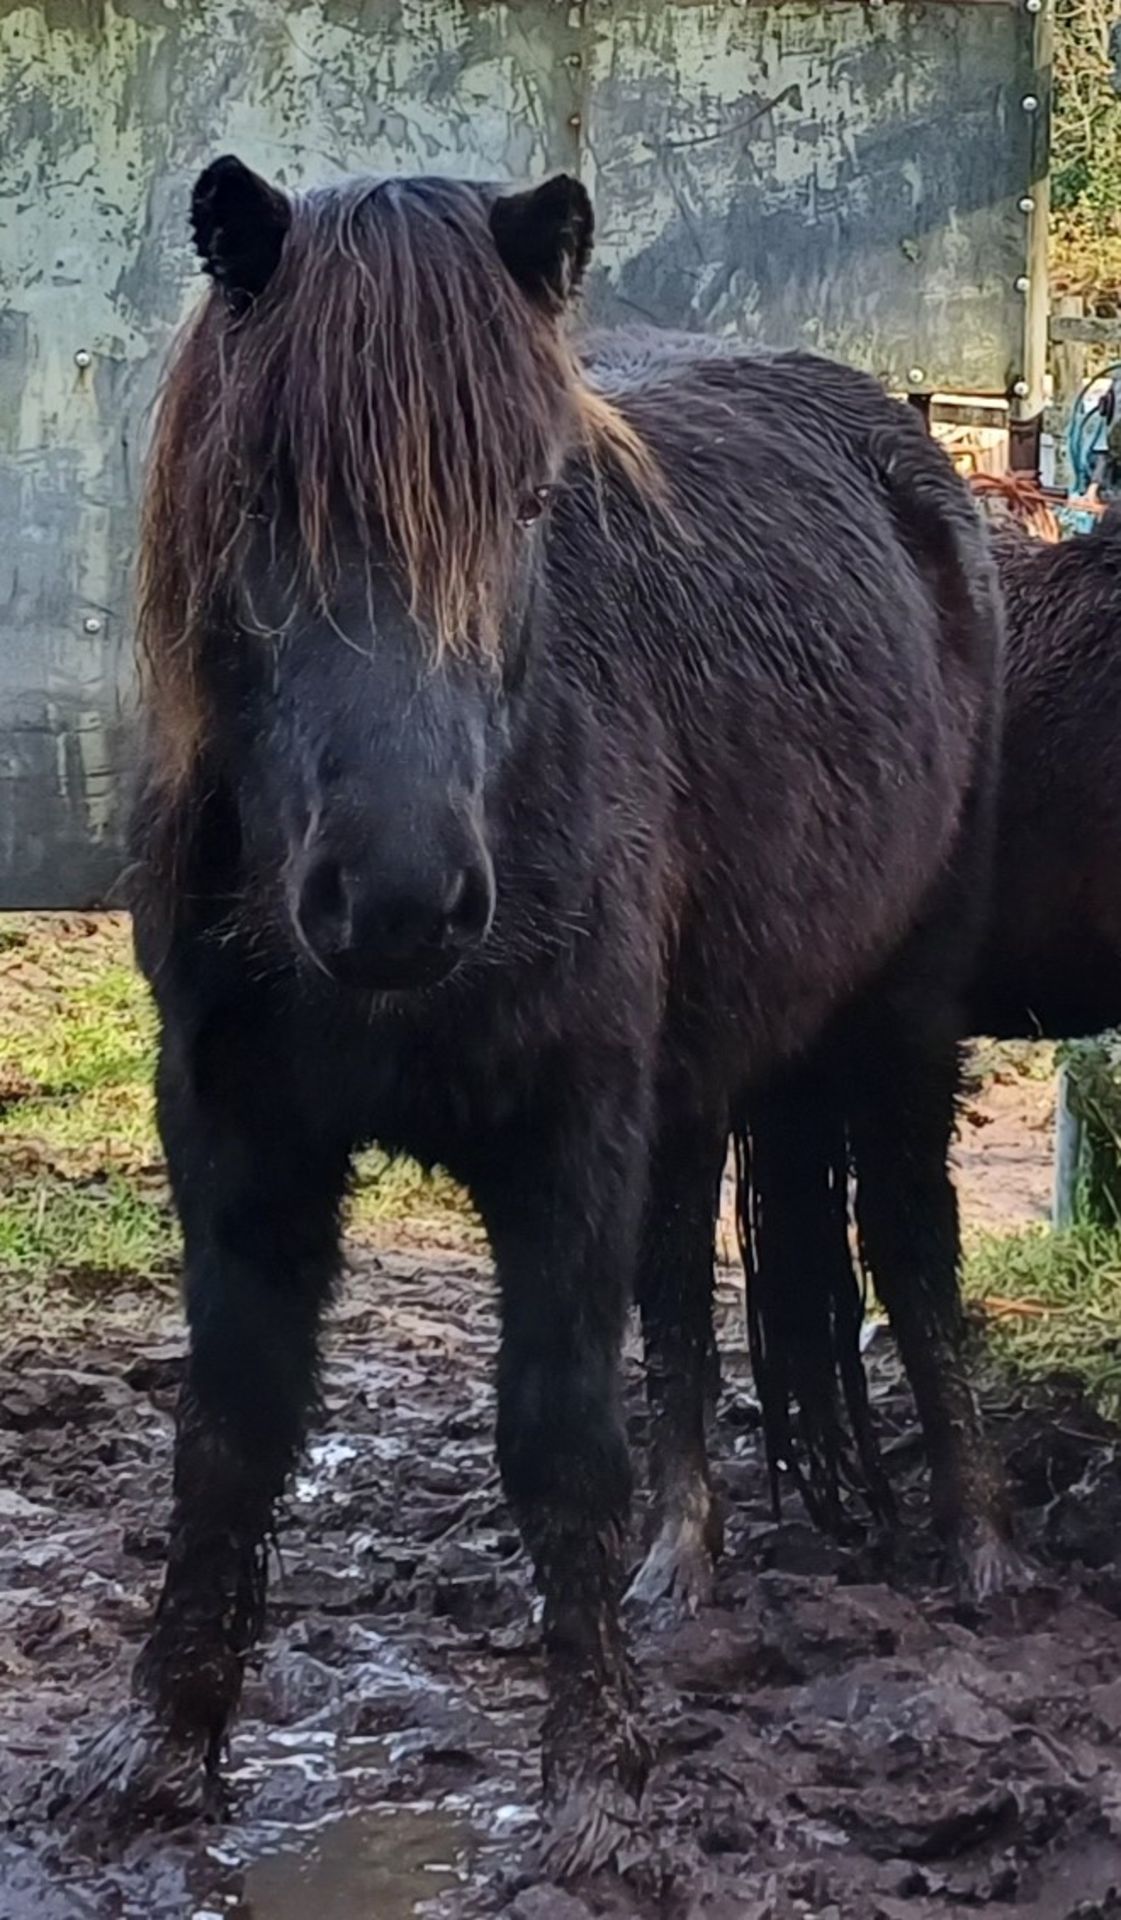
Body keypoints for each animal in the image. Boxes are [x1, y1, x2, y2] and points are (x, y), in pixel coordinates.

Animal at [52, 165, 1013, 1873]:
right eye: (265, 500)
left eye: (523, 503)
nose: (399, 897)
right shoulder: (233, 1136)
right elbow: (226, 1435)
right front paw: (155, 1752)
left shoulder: (564, 1133)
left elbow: (559, 1438)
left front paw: (596, 1798)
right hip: (688, 1082)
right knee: (687, 1297)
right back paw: (680, 1569)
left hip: (903, 1018)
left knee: (910, 1245)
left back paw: (970, 1553)